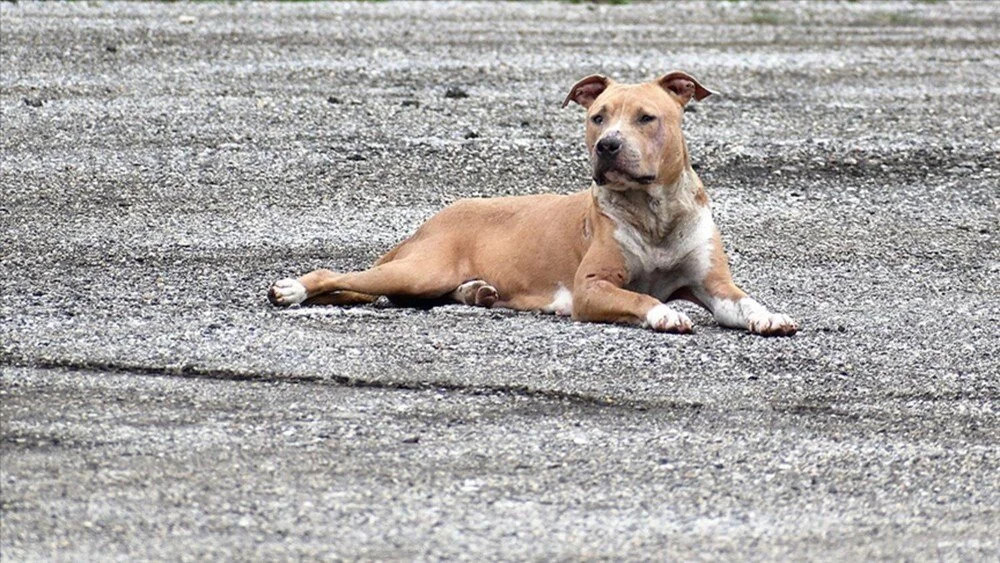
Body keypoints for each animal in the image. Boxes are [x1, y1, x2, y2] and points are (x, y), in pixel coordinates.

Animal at [270, 70, 800, 334]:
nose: (607, 145)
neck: (654, 213)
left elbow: (744, 301)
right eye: (597, 116)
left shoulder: (714, 285)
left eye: (647, 117)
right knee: (338, 275)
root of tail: (431, 221)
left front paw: (769, 316)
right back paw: (291, 289)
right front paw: (663, 312)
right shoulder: (591, 287)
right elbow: (639, 296)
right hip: (420, 269)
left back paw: (476, 293)